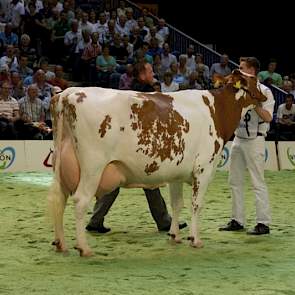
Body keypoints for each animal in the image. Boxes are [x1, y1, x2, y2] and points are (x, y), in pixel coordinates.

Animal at [48, 70, 268, 256]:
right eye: (256, 80)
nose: (266, 96)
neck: (217, 109)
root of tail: (68, 93)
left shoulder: (177, 172)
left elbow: (177, 204)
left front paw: (174, 236)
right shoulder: (204, 168)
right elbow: (197, 204)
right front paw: (195, 239)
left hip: (61, 165)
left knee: (58, 199)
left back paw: (61, 244)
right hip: (93, 166)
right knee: (80, 201)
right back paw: (84, 248)